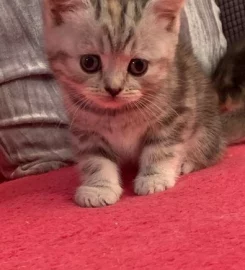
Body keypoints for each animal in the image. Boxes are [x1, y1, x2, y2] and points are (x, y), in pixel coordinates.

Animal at [42, 0, 245, 208]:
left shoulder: (175, 114)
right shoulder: (86, 130)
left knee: (212, 151)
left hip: (204, 128)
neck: (118, 114)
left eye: (138, 66)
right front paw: (99, 187)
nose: (113, 89)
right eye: (89, 62)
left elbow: (160, 148)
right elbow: (95, 160)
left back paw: (187, 162)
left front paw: (154, 177)